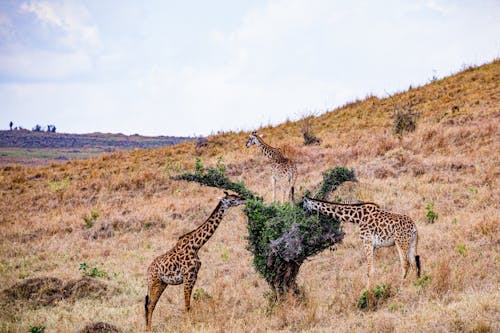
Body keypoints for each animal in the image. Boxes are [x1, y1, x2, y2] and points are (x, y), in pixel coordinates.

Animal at [145, 191, 246, 328]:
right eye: (232, 199)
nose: (244, 199)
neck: (196, 246)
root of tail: (148, 270)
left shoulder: (194, 276)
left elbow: (189, 304)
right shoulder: (188, 276)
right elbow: (187, 305)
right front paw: (187, 326)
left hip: (162, 283)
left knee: (152, 304)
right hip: (154, 282)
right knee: (149, 305)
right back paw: (148, 328)